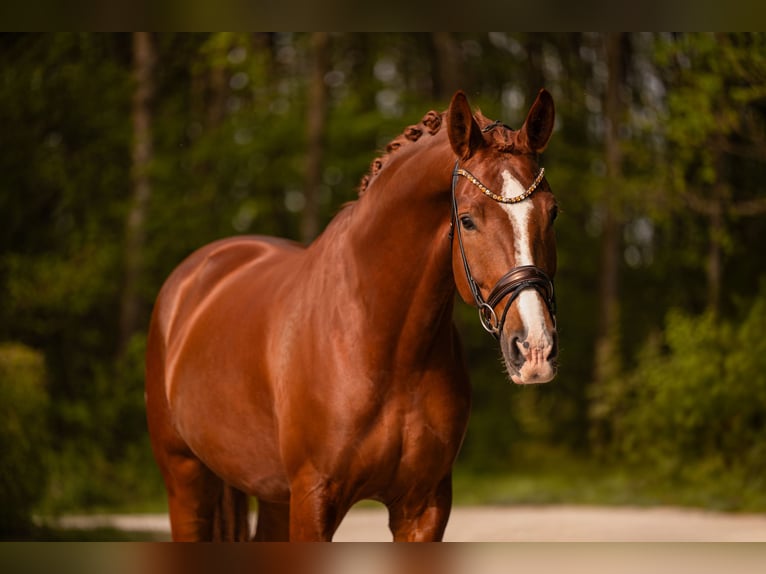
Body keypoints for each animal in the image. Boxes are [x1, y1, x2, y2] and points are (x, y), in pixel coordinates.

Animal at [145, 89, 558, 541]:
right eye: (467, 220)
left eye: (552, 211)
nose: (534, 347)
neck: (382, 344)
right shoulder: (314, 499)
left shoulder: (424, 507)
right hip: (185, 479)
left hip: (271, 494)